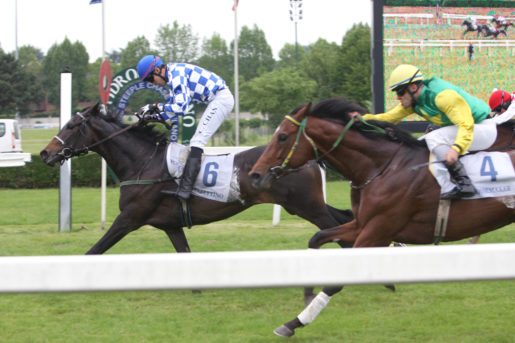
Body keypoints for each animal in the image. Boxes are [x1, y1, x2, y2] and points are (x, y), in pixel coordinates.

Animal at [249, 98, 515, 338]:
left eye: (283, 137)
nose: (254, 175)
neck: (382, 168)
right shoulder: (362, 224)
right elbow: (318, 237)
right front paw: (306, 293)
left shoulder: (379, 230)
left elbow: (339, 278)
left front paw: (295, 322)